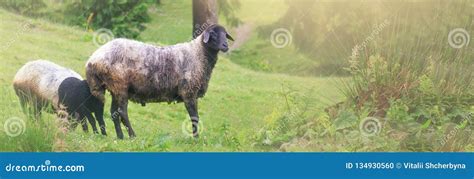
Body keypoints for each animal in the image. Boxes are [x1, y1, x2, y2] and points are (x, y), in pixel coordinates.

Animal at [86, 24, 234, 138]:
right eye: (213, 34)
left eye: (225, 34)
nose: (225, 46)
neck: (198, 53)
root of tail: (93, 59)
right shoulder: (189, 92)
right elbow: (194, 117)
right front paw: (196, 139)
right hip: (120, 86)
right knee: (122, 112)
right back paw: (132, 136)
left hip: (114, 88)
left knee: (114, 113)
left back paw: (120, 137)